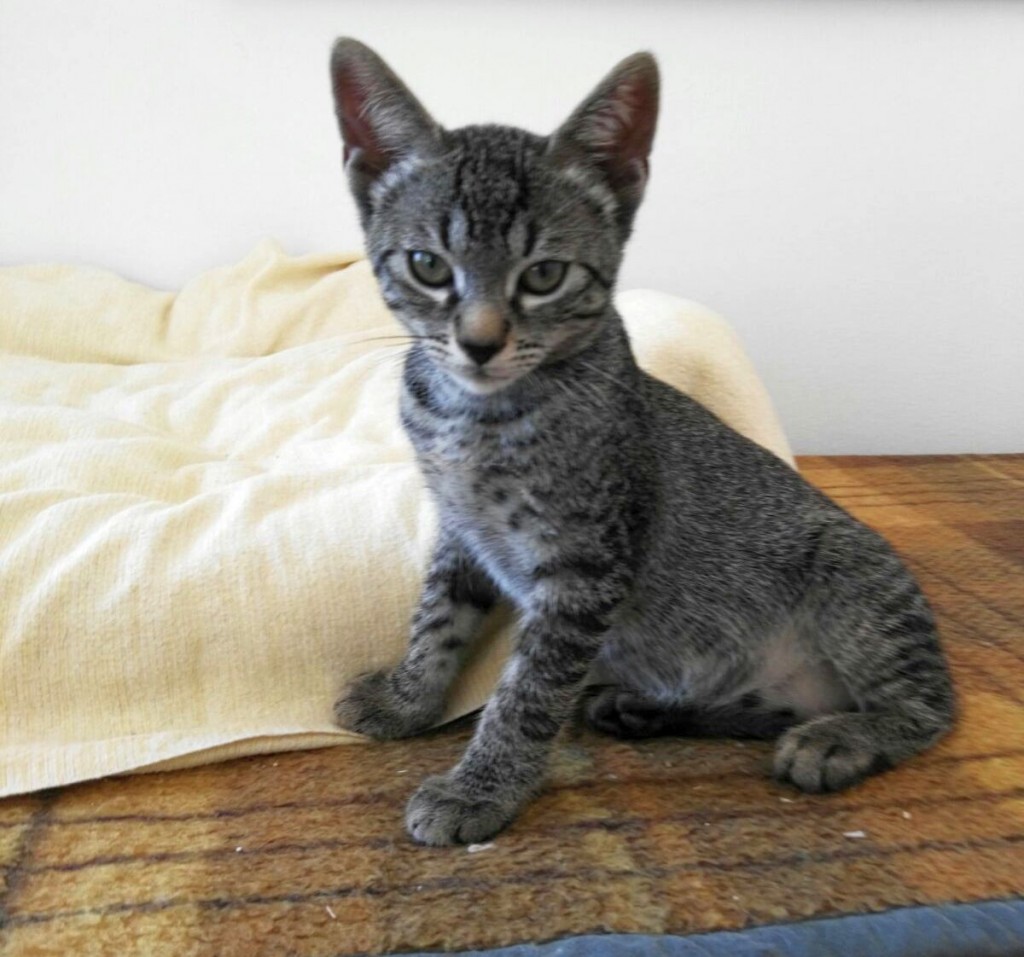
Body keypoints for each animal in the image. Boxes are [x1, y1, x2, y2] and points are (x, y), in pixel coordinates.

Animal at [328, 38, 955, 846]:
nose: (479, 342)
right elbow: (436, 618)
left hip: (855, 578)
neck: (474, 415)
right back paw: (645, 707)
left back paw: (845, 736)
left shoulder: (584, 567)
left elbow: (527, 692)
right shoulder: (460, 530)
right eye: (429, 266)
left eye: (545, 275)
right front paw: (408, 698)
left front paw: (481, 785)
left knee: (930, 708)